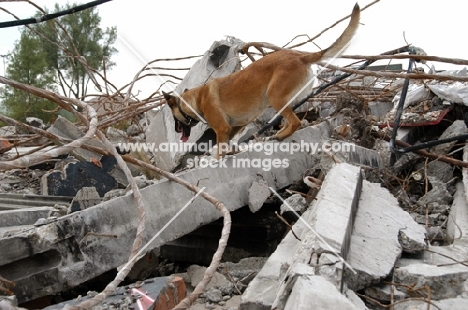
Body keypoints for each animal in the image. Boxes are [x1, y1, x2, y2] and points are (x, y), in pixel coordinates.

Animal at [163, 2, 360, 157]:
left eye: (174, 118)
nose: (176, 131)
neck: (196, 99)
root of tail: (300, 56)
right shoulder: (235, 127)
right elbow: (226, 145)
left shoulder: (222, 129)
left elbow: (219, 151)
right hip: (279, 100)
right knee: (290, 120)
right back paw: (279, 133)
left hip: (275, 95)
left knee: (295, 122)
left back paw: (281, 135)